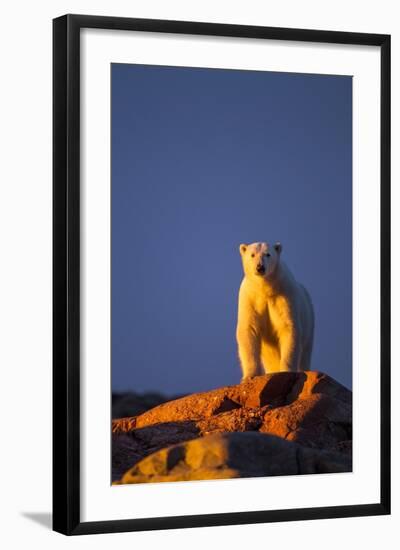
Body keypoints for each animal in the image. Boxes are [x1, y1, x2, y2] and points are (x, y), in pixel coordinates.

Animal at [236, 244, 314, 382]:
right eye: (252, 255)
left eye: (268, 254)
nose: (260, 267)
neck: (265, 289)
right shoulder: (250, 298)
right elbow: (249, 330)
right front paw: (249, 375)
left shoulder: (284, 296)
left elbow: (288, 328)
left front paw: (286, 370)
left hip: (309, 323)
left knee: (305, 352)